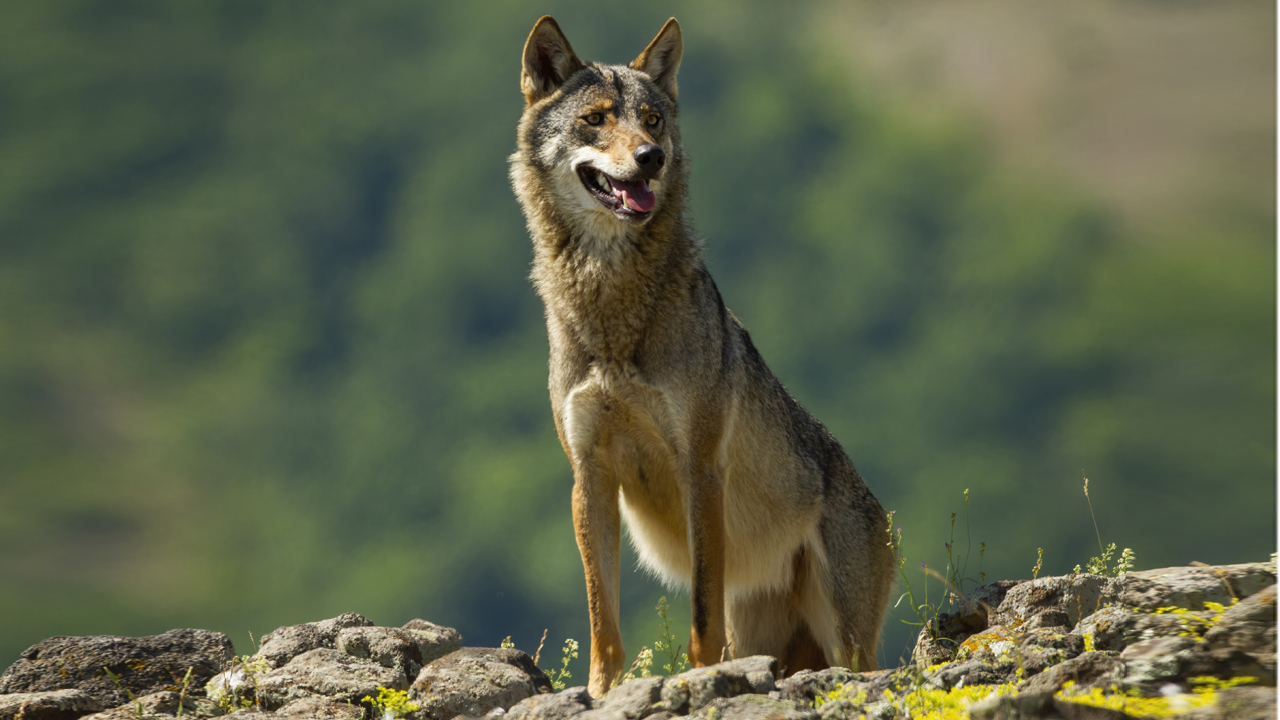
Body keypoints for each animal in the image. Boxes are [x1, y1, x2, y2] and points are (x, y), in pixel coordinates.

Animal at [509, 16, 896, 697]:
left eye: (653, 120)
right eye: (596, 119)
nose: (651, 158)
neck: (612, 312)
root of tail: (887, 524)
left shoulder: (700, 467)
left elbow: (698, 618)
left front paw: (701, 680)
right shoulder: (590, 474)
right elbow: (602, 617)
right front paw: (602, 692)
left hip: (847, 643)